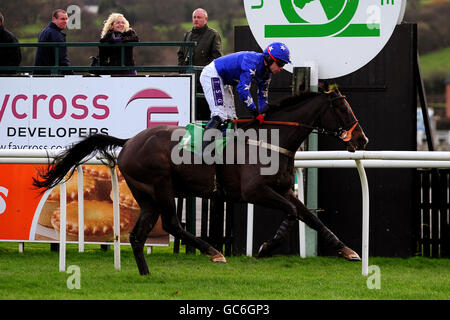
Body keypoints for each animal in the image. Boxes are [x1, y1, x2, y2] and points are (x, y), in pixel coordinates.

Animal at [32, 85, 370, 276]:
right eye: (343, 108)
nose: (362, 140)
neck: (271, 141)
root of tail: (128, 141)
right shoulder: (254, 191)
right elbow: (289, 213)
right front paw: (266, 246)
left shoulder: (285, 189)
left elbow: (311, 218)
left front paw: (348, 251)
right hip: (162, 187)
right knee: (172, 225)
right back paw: (213, 252)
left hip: (146, 196)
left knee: (139, 235)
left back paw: (146, 274)